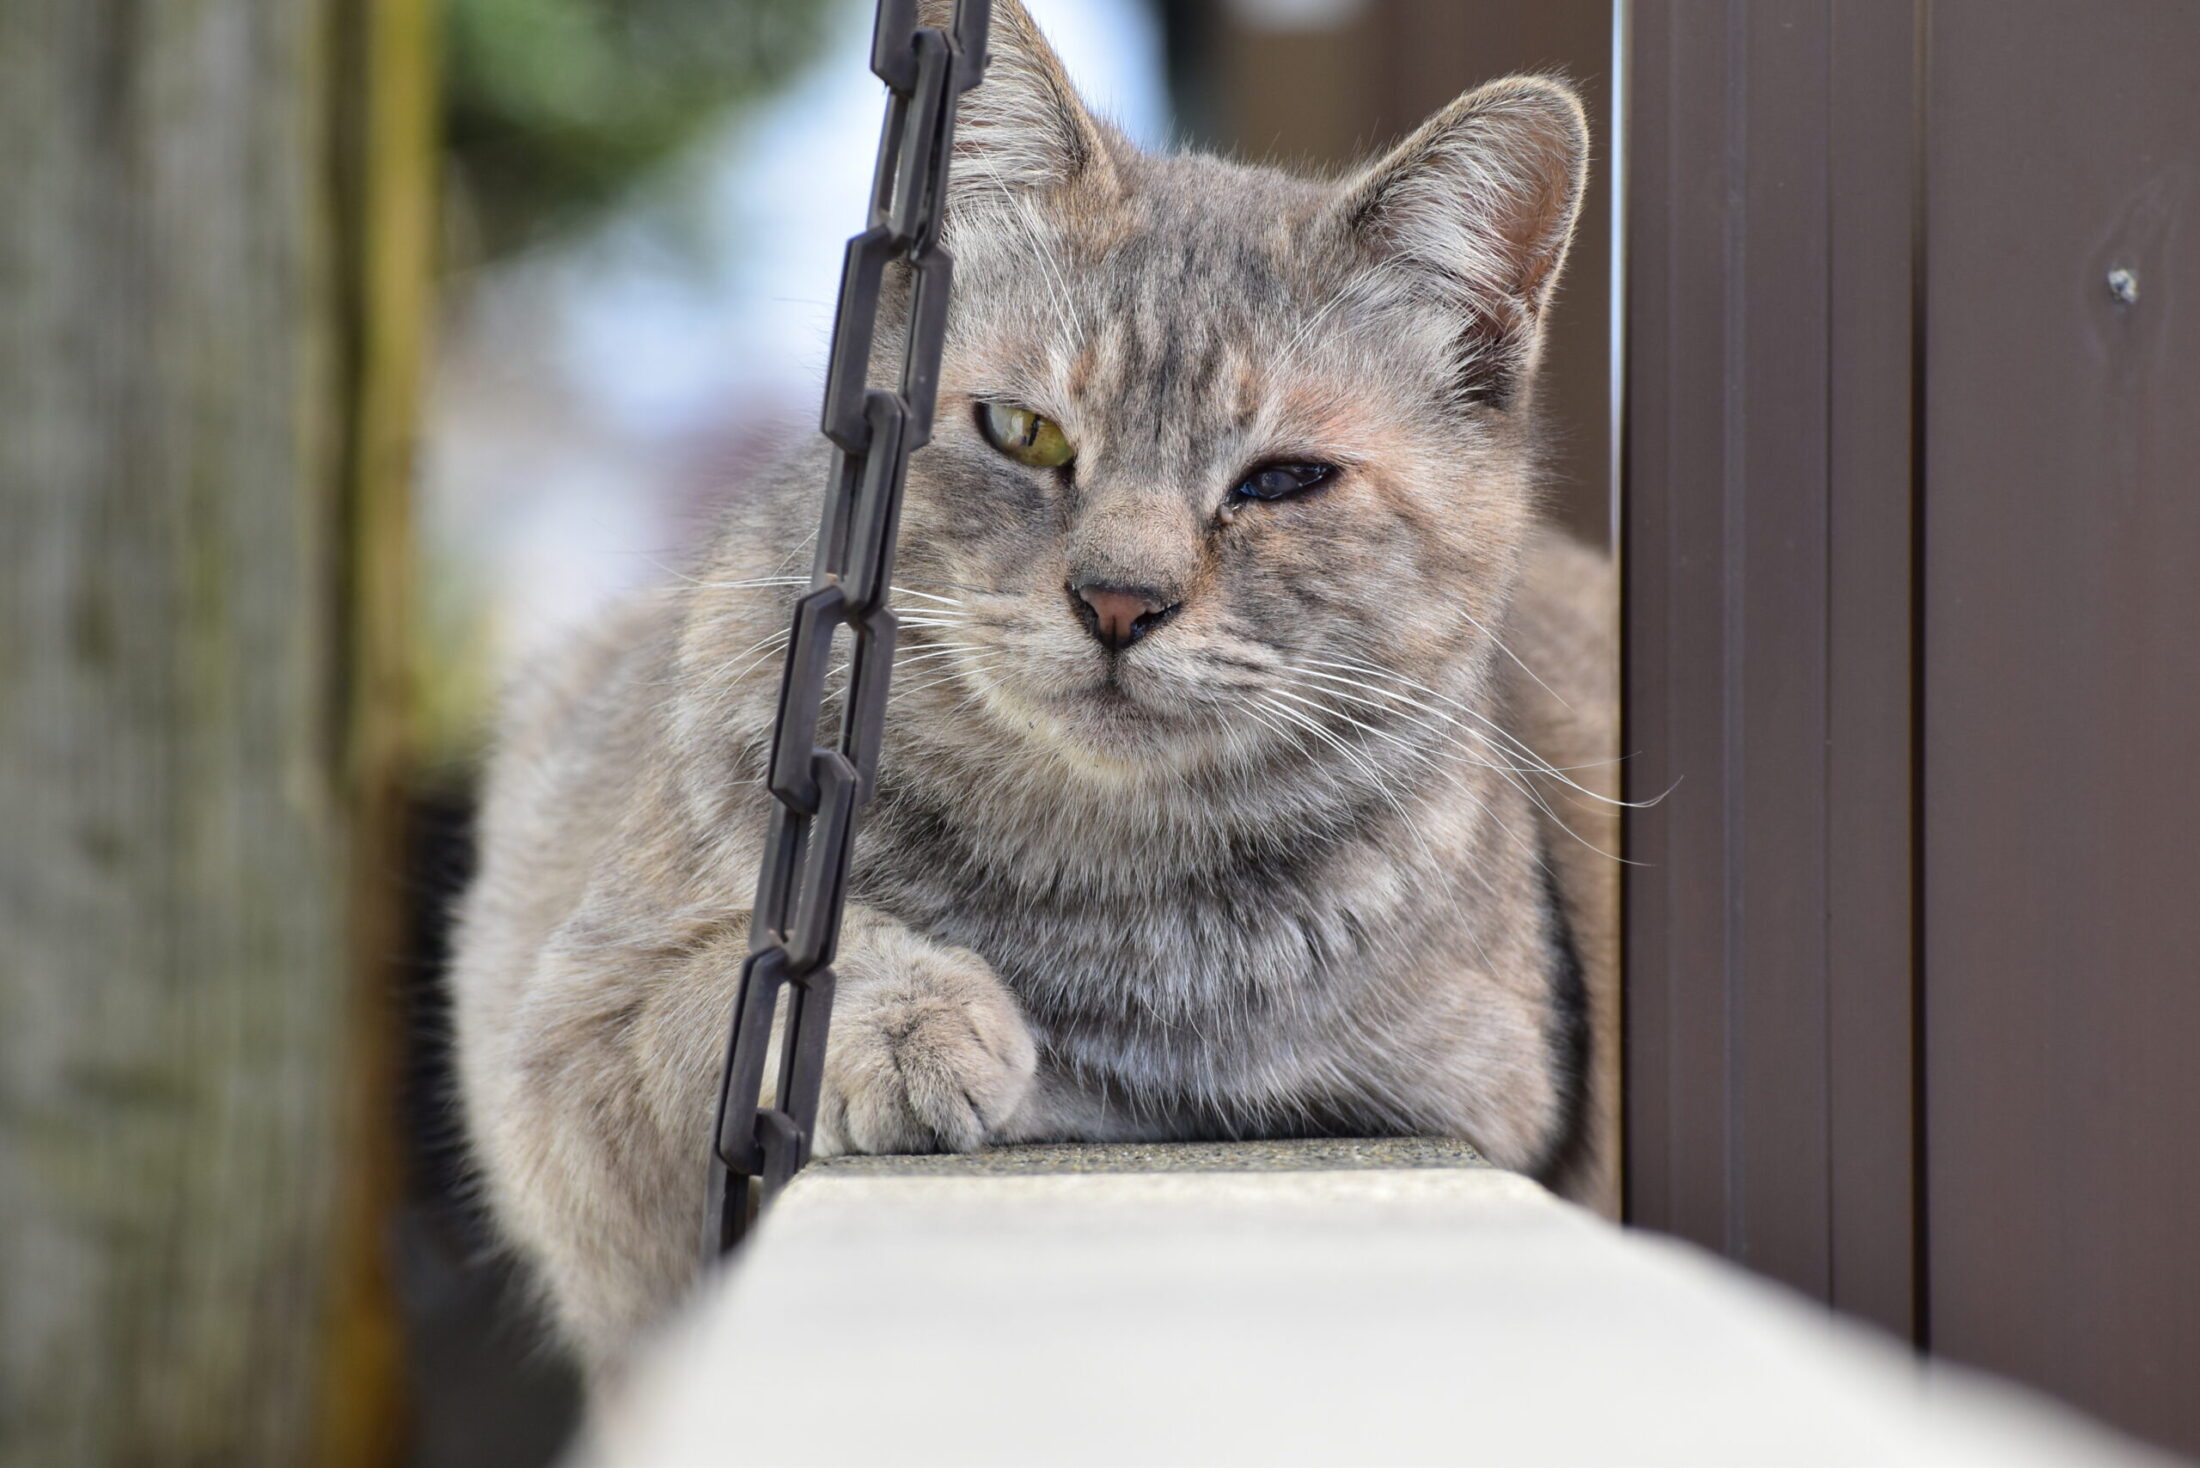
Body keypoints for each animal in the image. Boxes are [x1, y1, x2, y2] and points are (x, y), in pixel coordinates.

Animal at [451, 0, 1619, 1382]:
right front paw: (907, 1021)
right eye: (1025, 432)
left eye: (1283, 480)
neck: (1091, 881)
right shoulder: (570, 1055)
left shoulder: (1458, 1093)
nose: (1118, 600)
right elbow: (720, 997)